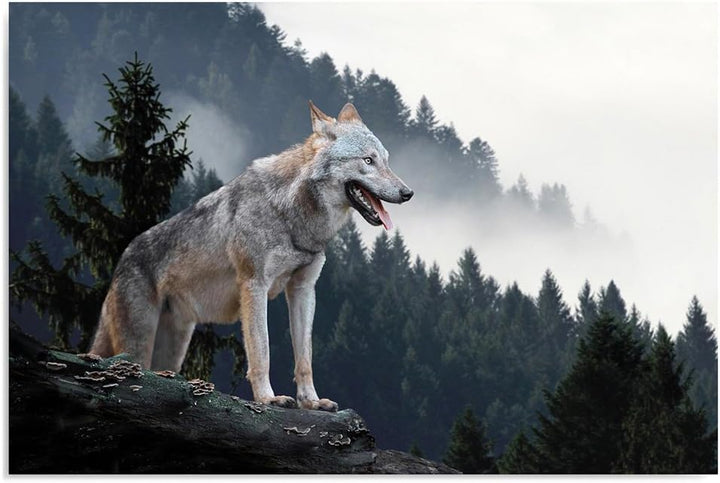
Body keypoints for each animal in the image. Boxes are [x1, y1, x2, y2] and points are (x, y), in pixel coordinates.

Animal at [90, 101, 413, 411]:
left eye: (386, 160)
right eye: (368, 161)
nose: (408, 193)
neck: (291, 214)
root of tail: (121, 260)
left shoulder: (303, 289)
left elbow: (304, 357)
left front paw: (311, 401)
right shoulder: (254, 285)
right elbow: (262, 351)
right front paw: (268, 399)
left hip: (173, 350)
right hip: (138, 345)